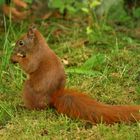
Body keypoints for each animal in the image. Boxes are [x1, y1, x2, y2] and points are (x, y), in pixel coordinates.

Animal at [10, 25, 140, 124]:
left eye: (21, 42)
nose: (14, 50)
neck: (38, 47)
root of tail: (53, 97)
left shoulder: (35, 58)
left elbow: (28, 66)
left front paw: (15, 58)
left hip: (28, 89)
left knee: (36, 107)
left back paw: (24, 107)